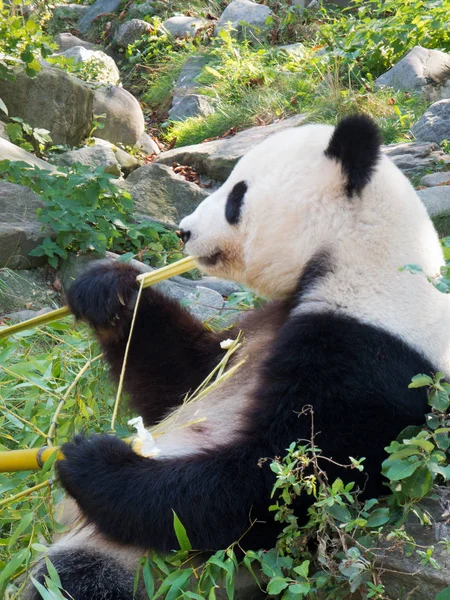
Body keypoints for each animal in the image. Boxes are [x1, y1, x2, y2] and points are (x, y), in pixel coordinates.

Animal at [27, 115, 450, 596]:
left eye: (236, 196)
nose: (184, 231)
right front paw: (109, 292)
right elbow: (184, 380)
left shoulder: (373, 354)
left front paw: (90, 459)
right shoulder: (262, 326)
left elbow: (274, 483)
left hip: (150, 567)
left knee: (78, 579)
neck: (359, 256)